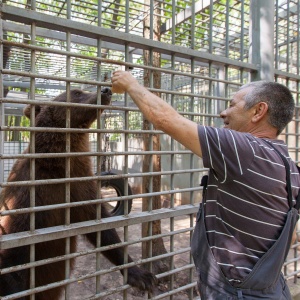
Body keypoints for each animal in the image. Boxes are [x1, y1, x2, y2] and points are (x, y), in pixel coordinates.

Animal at [0, 88, 157, 298]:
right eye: (76, 92)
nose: (106, 90)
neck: (58, 166)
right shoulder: (26, 197)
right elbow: (15, 257)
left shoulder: (81, 188)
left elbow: (104, 231)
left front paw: (142, 275)